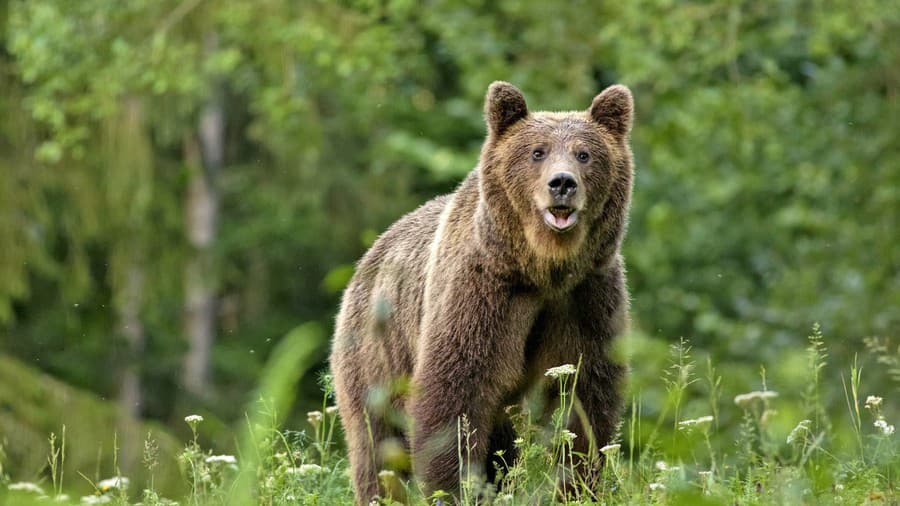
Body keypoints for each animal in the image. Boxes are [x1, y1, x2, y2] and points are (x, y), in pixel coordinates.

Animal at [330, 81, 632, 504]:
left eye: (584, 154)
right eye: (537, 151)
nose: (562, 183)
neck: (542, 269)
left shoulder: (586, 296)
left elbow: (583, 397)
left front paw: (577, 484)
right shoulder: (482, 292)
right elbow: (456, 393)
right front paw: (456, 487)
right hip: (376, 354)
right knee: (378, 445)